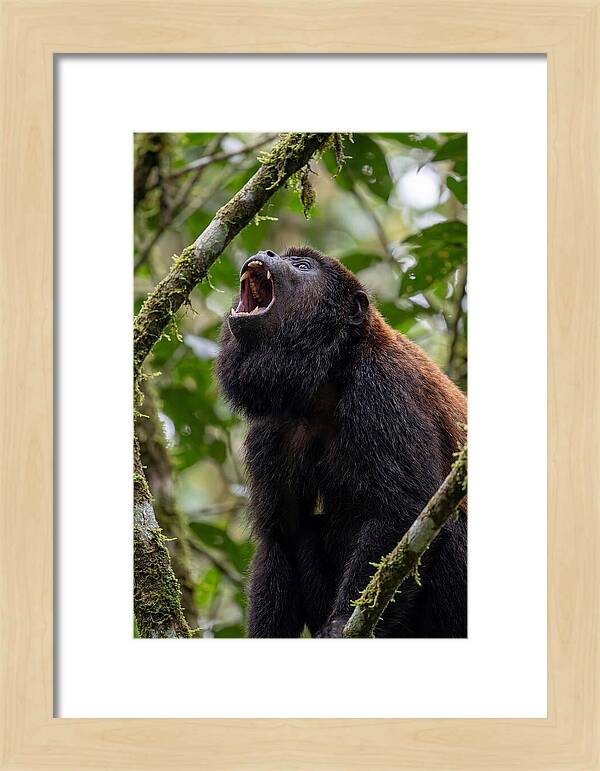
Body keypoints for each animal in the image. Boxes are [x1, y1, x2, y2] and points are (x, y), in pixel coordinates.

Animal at [216, 247, 467, 638]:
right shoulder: (273, 425)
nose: (267, 252)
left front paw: (338, 625)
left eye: (302, 266)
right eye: (282, 255)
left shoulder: (381, 387)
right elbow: (280, 535)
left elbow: (405, 509)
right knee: (305, 532)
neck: (329, 376)